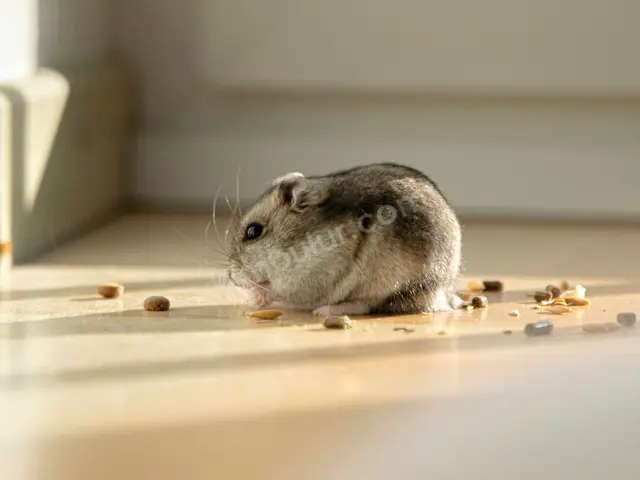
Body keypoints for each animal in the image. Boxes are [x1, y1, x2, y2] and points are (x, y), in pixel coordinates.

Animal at [226, 163, 462, 316]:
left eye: (253, 231)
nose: (231, 277)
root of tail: (443, 291)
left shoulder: (314, 274)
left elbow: (277, 289)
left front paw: (256, 297)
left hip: (390, 284)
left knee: (367, 305)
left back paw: (325, 311)